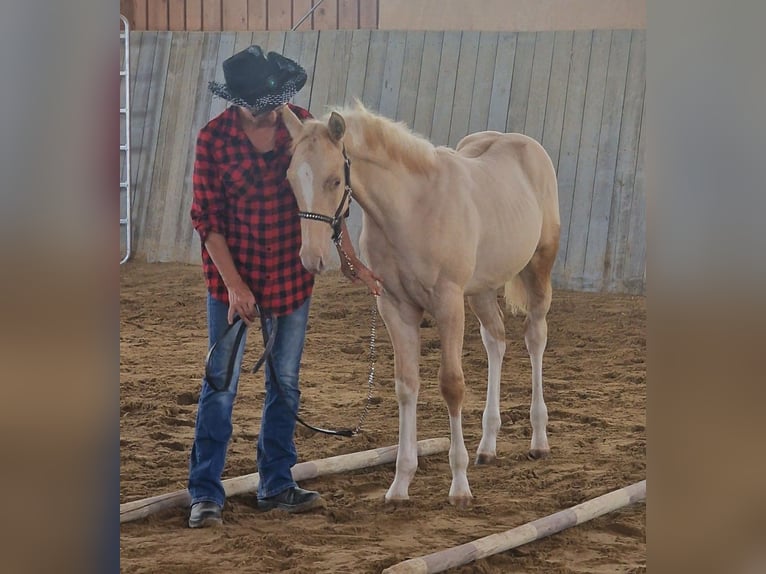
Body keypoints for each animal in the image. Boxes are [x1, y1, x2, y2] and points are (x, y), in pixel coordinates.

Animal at [281, 103, 560, 508]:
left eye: (334, 180)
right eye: (290, 179)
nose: (311, 258)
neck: (411, 208)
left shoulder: (448, 303)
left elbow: (451, 385)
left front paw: (459, 486)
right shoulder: (395, 307)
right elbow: (406, 385)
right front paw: (400, 484)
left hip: (538, 267)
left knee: (535, 337)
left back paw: (539, 440)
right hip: (481, 289)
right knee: (496, 341)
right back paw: (487, 446)